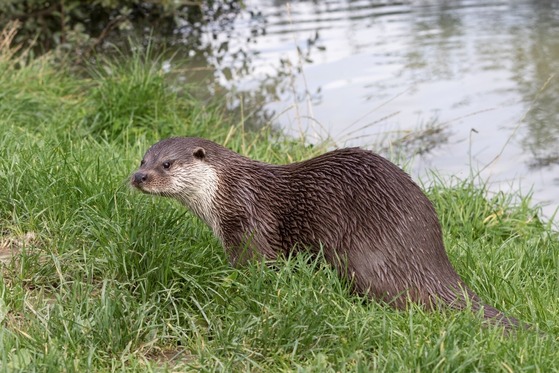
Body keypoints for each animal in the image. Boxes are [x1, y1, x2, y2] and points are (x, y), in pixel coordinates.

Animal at [131, 137, 520, 328]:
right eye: (142, 160)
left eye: (167, 164)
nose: (139, 177)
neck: (227, 192)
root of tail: (429, 254)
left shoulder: (250, 224)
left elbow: (255, 267)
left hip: (361, 256)